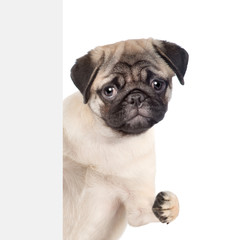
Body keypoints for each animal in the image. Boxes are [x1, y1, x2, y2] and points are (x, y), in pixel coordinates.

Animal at [63, 38, 188, 240]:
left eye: (157, 84)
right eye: (109, 90)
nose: (136, 97)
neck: (109, 138)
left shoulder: (138, 209)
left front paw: (169, 207)